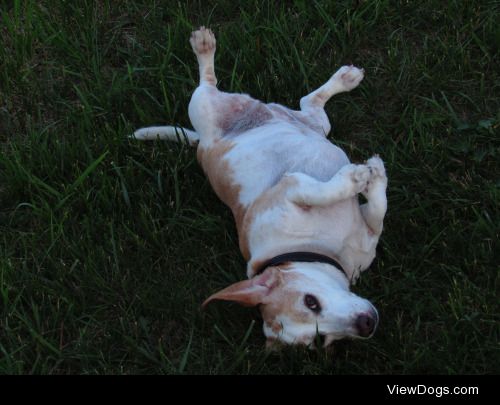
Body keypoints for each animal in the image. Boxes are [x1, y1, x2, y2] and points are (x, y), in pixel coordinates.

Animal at [132, 26, 386, 348]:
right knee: (306, 103)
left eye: (311, 301)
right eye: (321, 341)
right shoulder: (311, 197)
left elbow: (357, 203)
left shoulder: (292, 190)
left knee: (214, 84)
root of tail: (202, 144)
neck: (310, 248)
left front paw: (368, 173)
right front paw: (368, 176)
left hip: (210, 108)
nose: (367, 325)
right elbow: (373, 210)